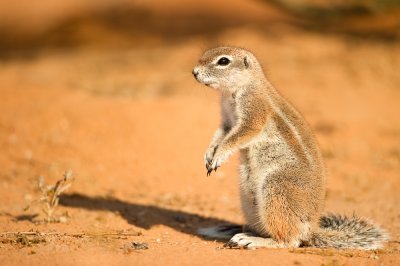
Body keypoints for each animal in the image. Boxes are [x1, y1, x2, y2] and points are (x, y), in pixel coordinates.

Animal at [192, 46, 390, 249]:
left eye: (223, 61)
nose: (194, 72)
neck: (242, 87)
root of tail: (310, 229)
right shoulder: (226, 122)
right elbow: (220, 135)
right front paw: (209, 153)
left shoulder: (253, 113)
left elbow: (237, 137)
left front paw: (219, 155)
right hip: (248, 197)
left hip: (277, 188)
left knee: (288, 241)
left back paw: (252, 239)